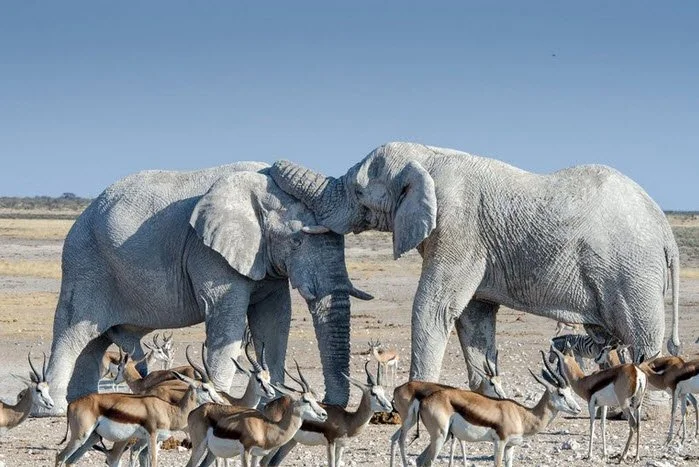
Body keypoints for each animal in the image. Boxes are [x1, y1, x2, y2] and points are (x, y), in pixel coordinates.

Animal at [42, 162, 372, 414]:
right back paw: (54, 408)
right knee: (73, 332)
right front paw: (218, 401)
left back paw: (81, 400)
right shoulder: (208, 253)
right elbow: (228, 319)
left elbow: (275, 321)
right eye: (297, 241)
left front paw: (274, 402)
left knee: (94, 342)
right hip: (85, 264)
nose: (328, 405)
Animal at [269, 141, 680, 391]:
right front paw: (487, 399)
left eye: (358, 191)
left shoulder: (458, 229)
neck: (428, 157)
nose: (267, 168)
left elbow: (433, 308)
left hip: (632, 271)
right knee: (609, 336)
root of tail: (667, 232)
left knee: (641, 337)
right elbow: (474, 317)